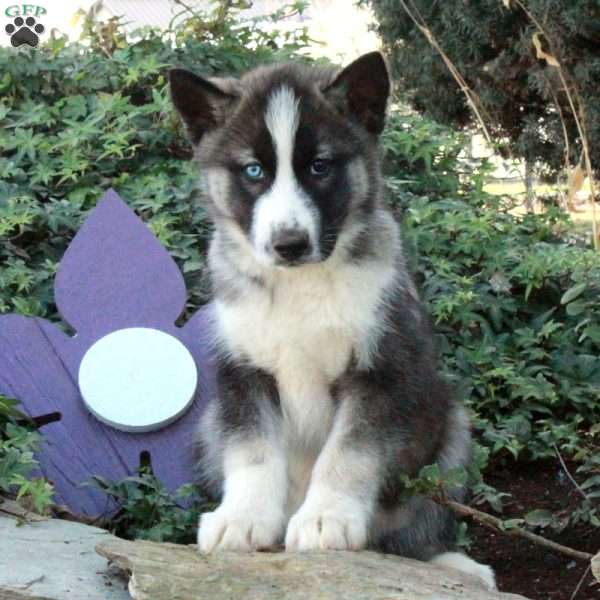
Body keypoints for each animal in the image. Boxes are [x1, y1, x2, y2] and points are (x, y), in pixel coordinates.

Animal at [171, 51, 494, 592]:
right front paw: (241, 519)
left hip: (451, 431)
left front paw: (326, 519)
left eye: (320, 166)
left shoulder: (379, 371)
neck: (300, 286)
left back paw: (452, 564)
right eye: (253, 170)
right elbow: (252, 453)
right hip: (208, 426)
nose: (289, 244)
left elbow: (349, 454)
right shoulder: (243, 373)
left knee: (411, 532)